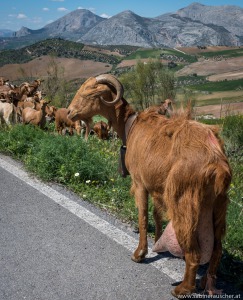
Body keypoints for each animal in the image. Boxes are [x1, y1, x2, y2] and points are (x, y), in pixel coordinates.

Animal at [67, 74, 233, 298]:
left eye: (89, 93)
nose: (69, 112)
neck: (130, 125)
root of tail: (217, 163)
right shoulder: (156, 186)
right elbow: (156, 215)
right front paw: (157, 243)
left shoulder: (140, 183)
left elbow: (143, 216)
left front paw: (139, 253)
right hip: (219, 204)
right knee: (217, 249)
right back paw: (207, 282)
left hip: (183, 201)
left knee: (194, 252)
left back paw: (183, 288)